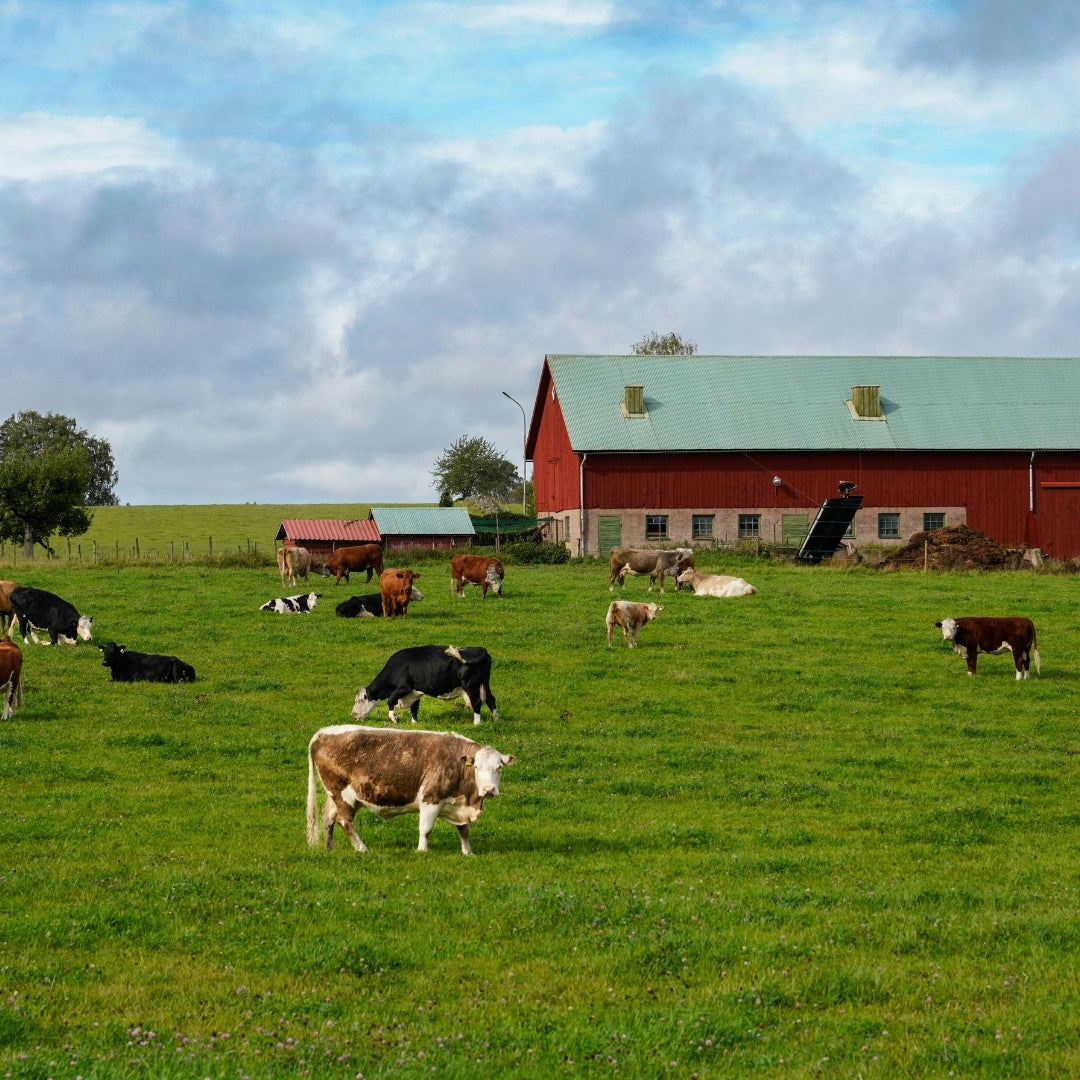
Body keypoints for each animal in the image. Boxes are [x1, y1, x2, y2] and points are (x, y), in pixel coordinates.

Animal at [306, 725, 516, 855]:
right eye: (477, 767)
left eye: (499, 767)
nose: (489, 789)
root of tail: (322, 732)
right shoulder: (430, 798)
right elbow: (426, 828)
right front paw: (422, 850)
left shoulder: (458, 803)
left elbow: (463, 830)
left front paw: (468, 852)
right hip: (341, 793)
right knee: (344, 821)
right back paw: (361, 848)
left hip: (335, 795)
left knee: (328, 816)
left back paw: (329, 848)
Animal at [352, 644, 499, 725]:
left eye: (360, 700)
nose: (353, 714)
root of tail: (481, 649)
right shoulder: (414, 692)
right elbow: (414, 708)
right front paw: (414, 723)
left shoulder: (404, 687)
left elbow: (390, 701)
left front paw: (394, 718)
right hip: (484, 683)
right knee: (491, 699)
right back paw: (496, 719)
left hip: (471, 685)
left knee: (477, 702)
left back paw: (477, 723)